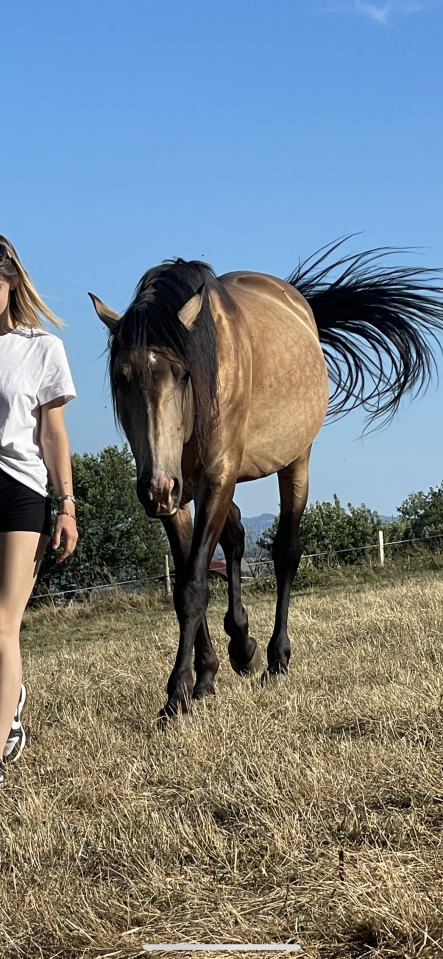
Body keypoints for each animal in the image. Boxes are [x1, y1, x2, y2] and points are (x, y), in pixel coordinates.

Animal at [89, 240, 443, 723]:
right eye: (121, 377)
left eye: (181, 374)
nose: (155, 488)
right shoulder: (178, 496)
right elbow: (187, 580)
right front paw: (205, 677)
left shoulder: (215, 479)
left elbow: (194, 585)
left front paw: (177, 695)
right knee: (236, 536)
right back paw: (242, 646)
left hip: (295, 461)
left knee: (285, 552)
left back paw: (274, 659)